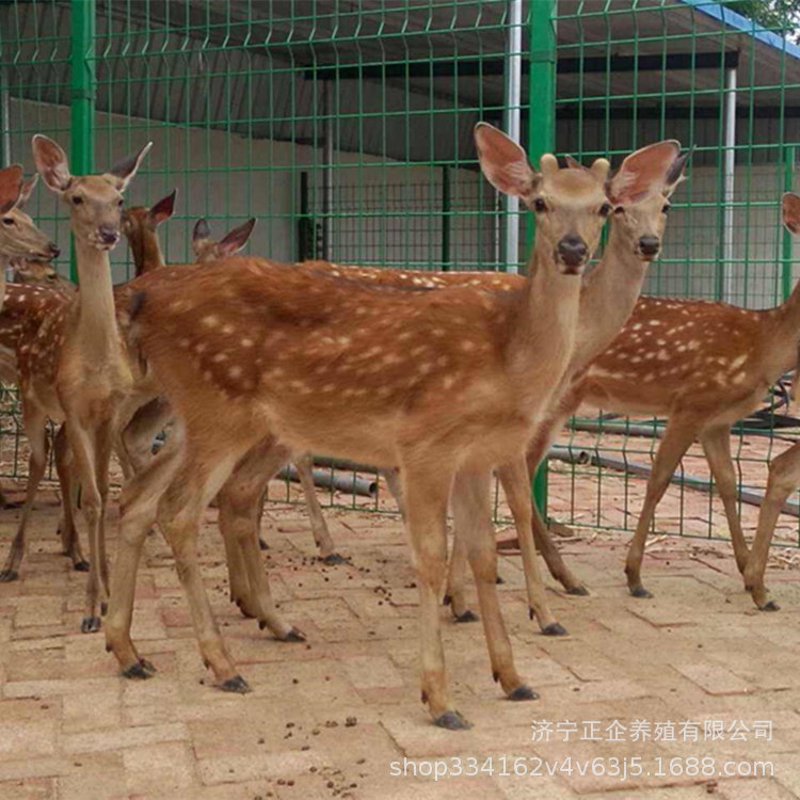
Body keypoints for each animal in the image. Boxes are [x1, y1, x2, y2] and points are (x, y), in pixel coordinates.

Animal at [0, 135, 151, 639]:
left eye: (119, 199)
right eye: (77, 198)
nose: (108, 233)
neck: (97, 362)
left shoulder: (108, 413)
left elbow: (102, 493)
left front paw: (104, 593)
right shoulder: (75, 406)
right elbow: (95, 502)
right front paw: (91, 608)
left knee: (57, 461)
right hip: (32, 398)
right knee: (35, 460)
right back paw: (13, 562)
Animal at [104, 123, 671, 729]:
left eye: (603, 207)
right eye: (540, 203)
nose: (572, 250)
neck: (510, 356)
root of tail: (142, 297)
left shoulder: (477, 454)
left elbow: (483, 553)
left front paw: (513, 677)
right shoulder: (427, 444)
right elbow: (435, 555)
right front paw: (442, 696)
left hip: (208, 420)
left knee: (145, 498)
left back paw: (134, 649)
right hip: (219, 412)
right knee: (180, 510)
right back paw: (223, 662)